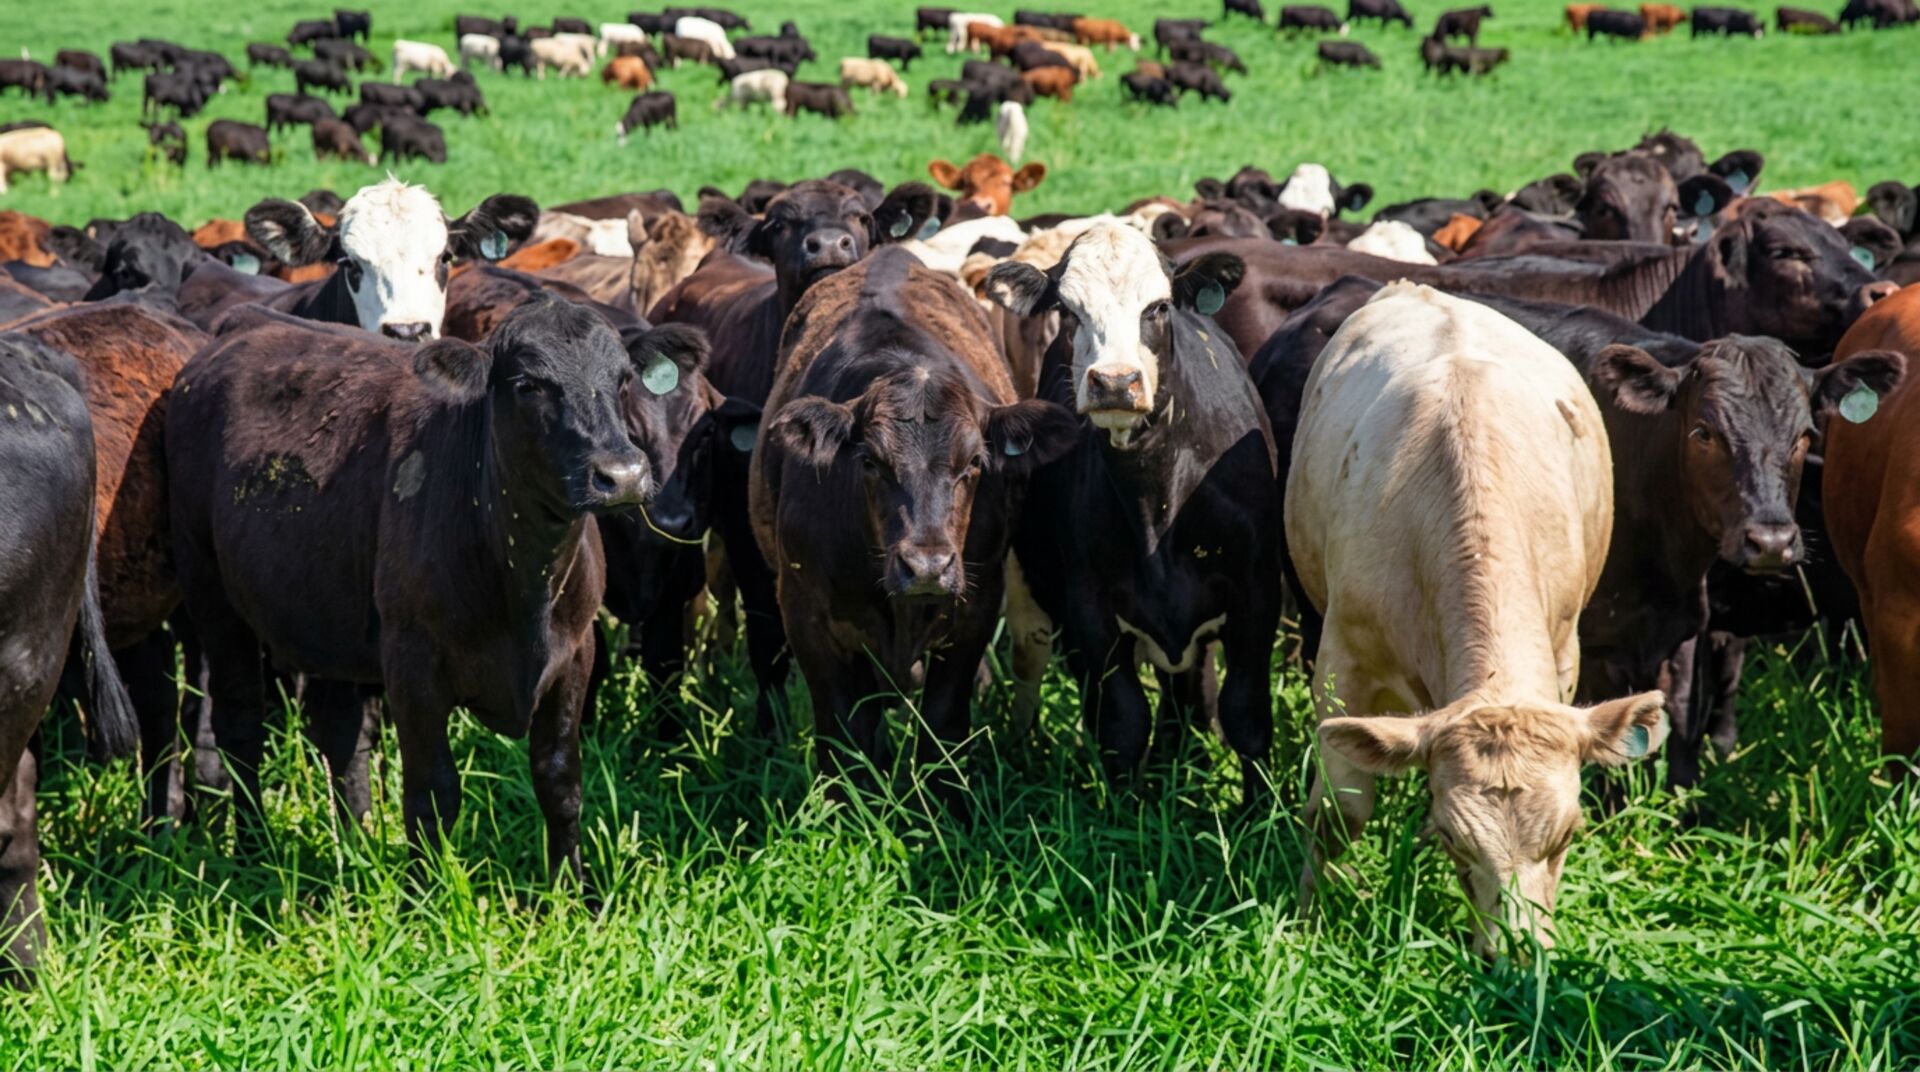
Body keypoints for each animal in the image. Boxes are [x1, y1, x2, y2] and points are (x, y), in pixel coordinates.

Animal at [166, 297, 679, 876]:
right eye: (527, 384)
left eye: (623, 380)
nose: (623, 474)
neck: (524, 584)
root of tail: (245, 320)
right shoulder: (412, 663)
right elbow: (432, 793)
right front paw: (423, 890)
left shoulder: (576, 653)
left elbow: (560, 782)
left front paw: (573, 889)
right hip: (211, 590)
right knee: (238, 725)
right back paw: (253, 851)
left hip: (326, 611)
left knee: (340, 734)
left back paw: (355, 845)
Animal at [749, 248, 1076, 801]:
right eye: (871, 461)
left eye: (974, 463)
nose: (926, 566)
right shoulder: (806, 615)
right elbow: (842, 734)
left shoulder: (974, 610)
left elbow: (943, 723)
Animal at [1288, 282, 1664, 959]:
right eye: (1451, 838)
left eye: (1568, 834)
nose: (1515, 955)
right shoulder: (1341, 664)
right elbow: (1337, 814)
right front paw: (1312, 920)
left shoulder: (1564, 655)